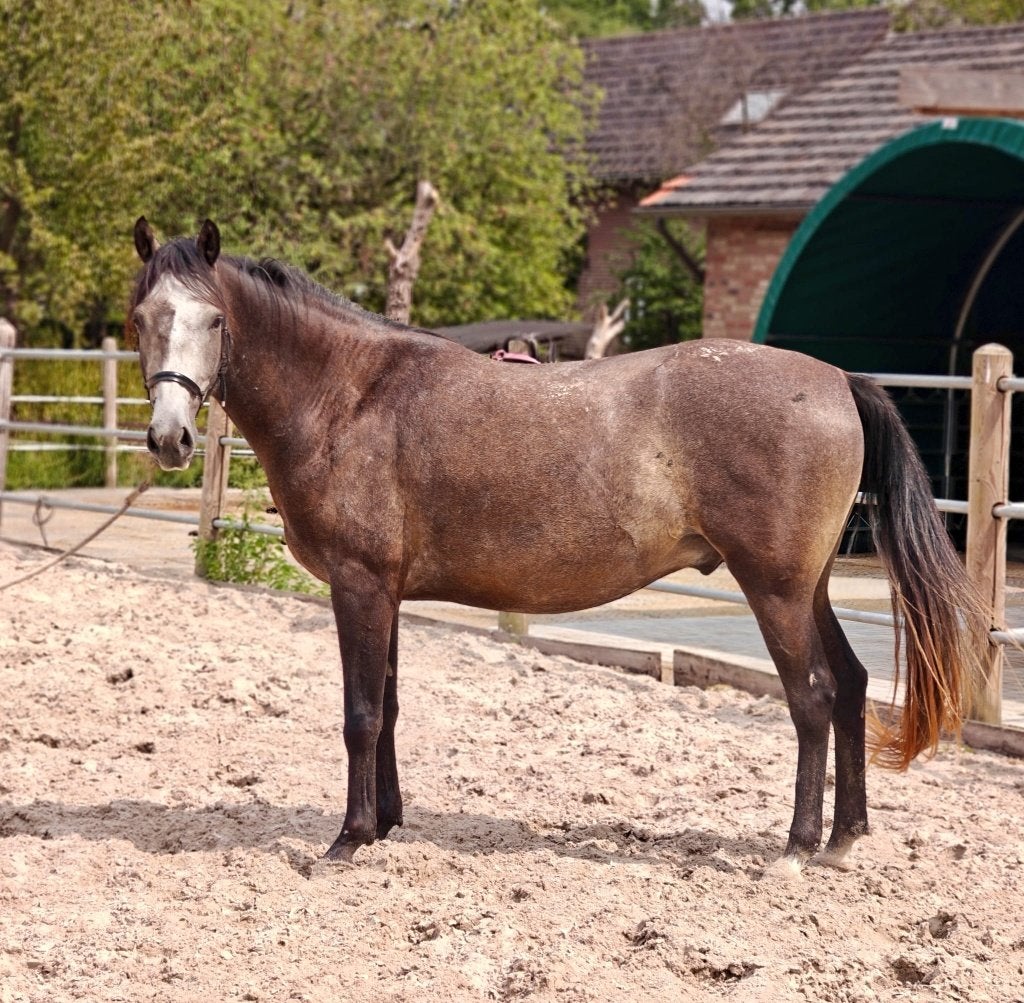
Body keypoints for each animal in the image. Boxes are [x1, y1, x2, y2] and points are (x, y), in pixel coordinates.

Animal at [127, 218, 986, 867]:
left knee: (810, 697)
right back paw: (845, 836)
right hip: (809, 587)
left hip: (774, 589)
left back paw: (798, 845)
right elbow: (393, 706)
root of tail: (838, 379)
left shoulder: (359, 583)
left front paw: (350, 836)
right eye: (141, 319)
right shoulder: (387, 589)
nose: (168, 438)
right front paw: (389, 823)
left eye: (213, 320)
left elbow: (361, 712)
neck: (354, 393)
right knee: (851, 686)